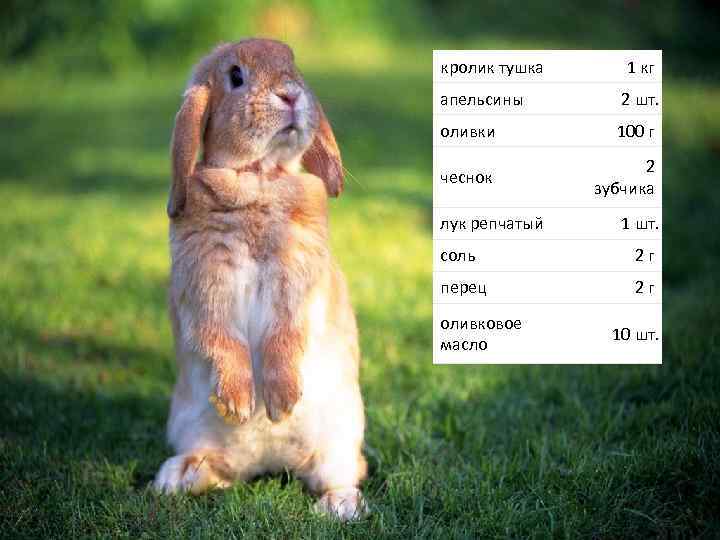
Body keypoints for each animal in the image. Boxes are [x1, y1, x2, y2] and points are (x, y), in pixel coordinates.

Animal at [152, 39, 367, 521]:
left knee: (343, 473)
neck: (258, 177)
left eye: (293, 66)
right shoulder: (204, 286)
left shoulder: (297, 283)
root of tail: (270, 462)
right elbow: (220, 338)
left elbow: (285, 336)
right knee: (218, 471)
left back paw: (339, 506)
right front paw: (238, 403)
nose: (290, 94)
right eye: (236, 76)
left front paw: (281, 402)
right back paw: (177, 477)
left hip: (340, 440)